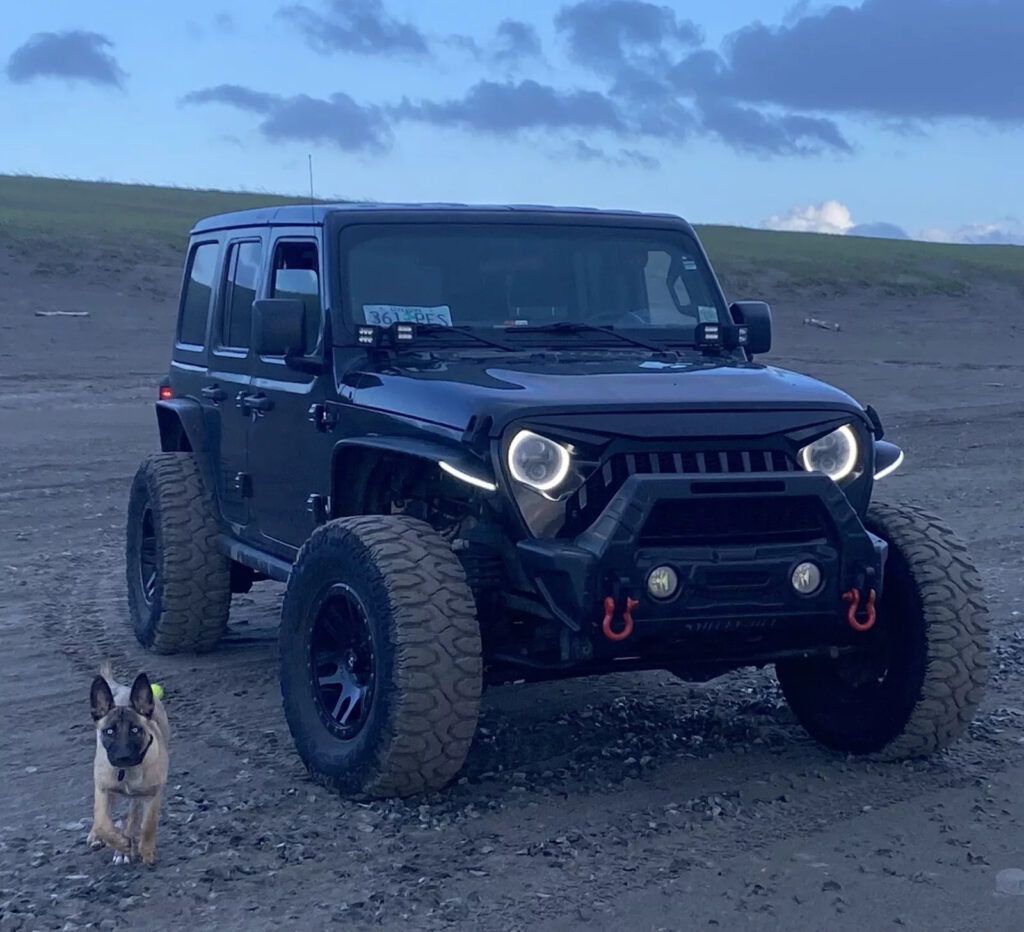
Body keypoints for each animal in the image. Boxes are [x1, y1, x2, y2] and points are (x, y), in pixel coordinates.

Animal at [87, 663, 168, 868]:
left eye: (135, 730)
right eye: (109, 731)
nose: (122, 757)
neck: (126, 772)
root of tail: (123, 688)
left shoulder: (152, 793)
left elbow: (148, 824)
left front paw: (145, 851)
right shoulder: (102, 788)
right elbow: (102, 820)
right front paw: (117, 842)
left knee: (133, 817)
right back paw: (98, 837)